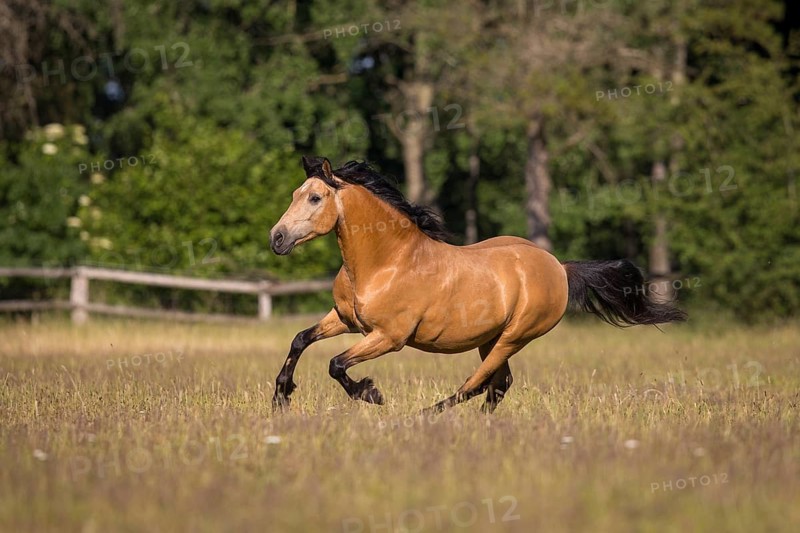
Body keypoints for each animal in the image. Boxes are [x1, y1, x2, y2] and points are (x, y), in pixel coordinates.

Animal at [269, 156, 686, 414]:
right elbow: (300, 340)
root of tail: (559, 268)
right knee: (499, 383)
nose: (277, 238)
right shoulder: (344, 320)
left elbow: (336, 363)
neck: (387, 262)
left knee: (477, 382)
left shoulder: (388, 337)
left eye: (315, 197)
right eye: (294, 194)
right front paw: (281, 396)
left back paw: (425, 415)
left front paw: (370, 393)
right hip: (491, 338)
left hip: (514, 336)